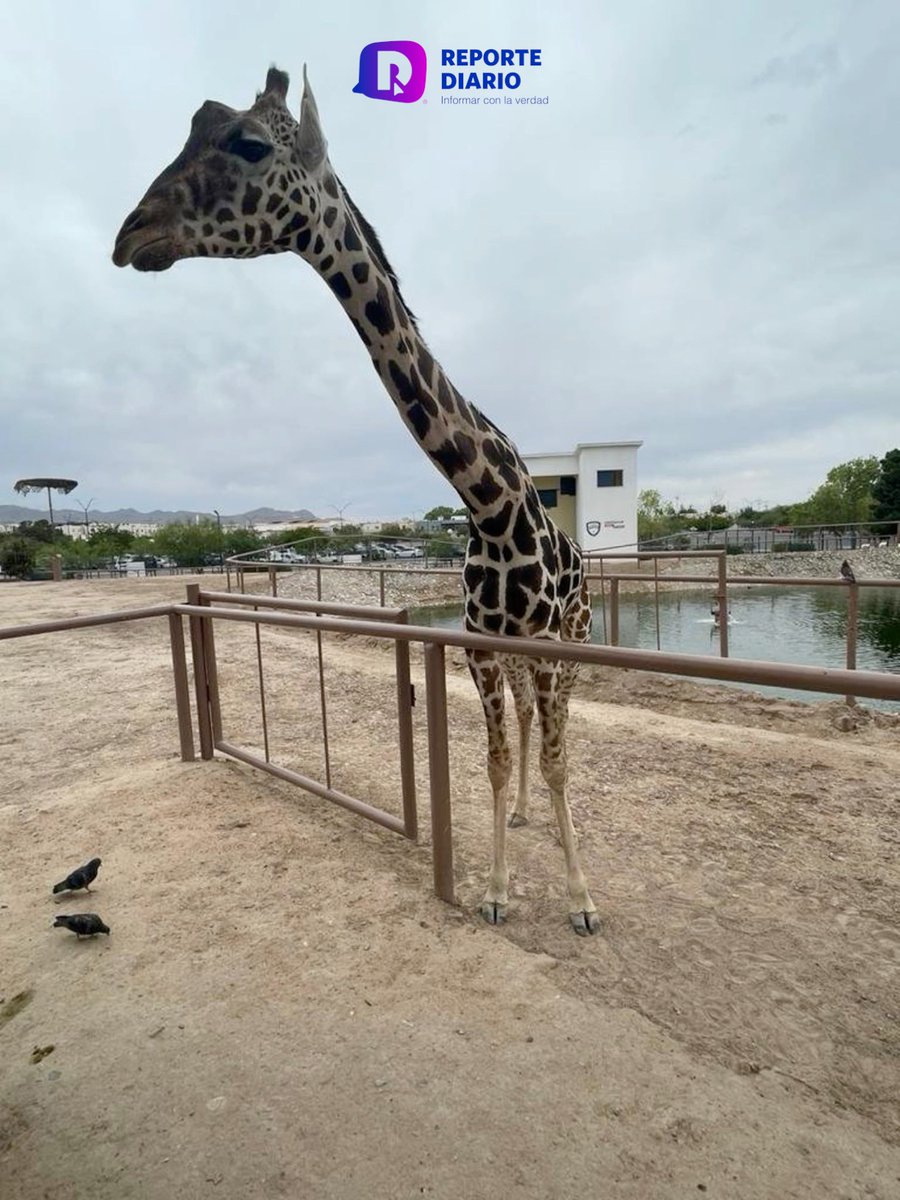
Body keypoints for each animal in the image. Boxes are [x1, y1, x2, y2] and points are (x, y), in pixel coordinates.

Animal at [112, 66, 599, 935]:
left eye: (249, 143)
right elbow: (495, 761)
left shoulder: (545, 648)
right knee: (526, 735)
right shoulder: (480, 647)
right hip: (517, 655)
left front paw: (578, 900)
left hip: (571, 641)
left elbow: (553, 762)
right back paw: (519, 821)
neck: (491, 505)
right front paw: (497, 889)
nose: (130, 234)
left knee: (557, 738)